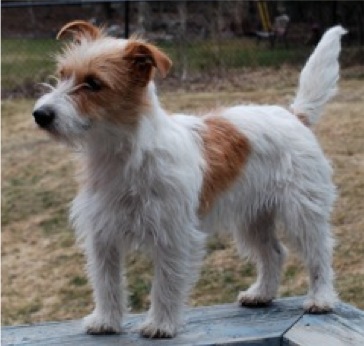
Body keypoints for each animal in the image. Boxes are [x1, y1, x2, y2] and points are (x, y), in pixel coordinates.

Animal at [32, 20, 346, 336]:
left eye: (94, 83)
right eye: (63, 75)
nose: (40, 114)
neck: (123, 154)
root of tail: (295, 115)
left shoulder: (173, 235)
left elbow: (166, 283)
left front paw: (160, 324)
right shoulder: (102, 235)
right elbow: (106, 282)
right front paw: (106, 321)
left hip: (302, 213)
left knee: (319, 253)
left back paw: (320, 298)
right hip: (253, 218)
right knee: (274, 253)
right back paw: (261, 294)